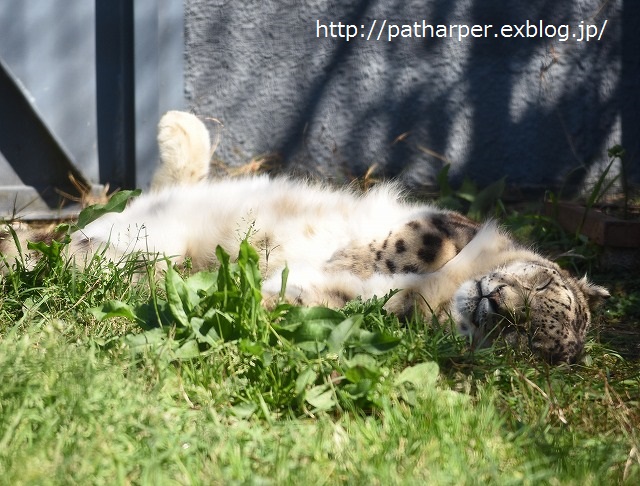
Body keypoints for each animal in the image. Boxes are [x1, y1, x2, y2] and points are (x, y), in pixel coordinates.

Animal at [0, 112, 608, 362]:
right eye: (542, 285)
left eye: (526, 339)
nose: (497, 303)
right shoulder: (445, 222)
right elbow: (425, 236)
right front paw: (373, 254)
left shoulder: (369, 312)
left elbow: (319, 295)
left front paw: (254, 296)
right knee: (165, 185)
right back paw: (179, 128)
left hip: (101, 264)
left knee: (70, 263)